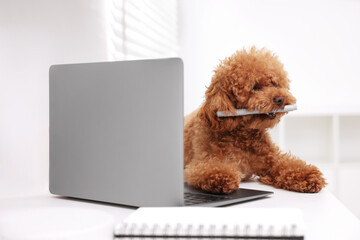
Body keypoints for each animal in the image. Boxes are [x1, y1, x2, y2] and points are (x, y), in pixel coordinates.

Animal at [184, 47, 328, 194]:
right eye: (255, 87)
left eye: (274, 83)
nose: (280, 99)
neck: (242, 136)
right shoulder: (204, 161)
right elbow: (212, 169)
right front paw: (222, 177)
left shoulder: (272, 159)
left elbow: (289, 165)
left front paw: (309, 176)